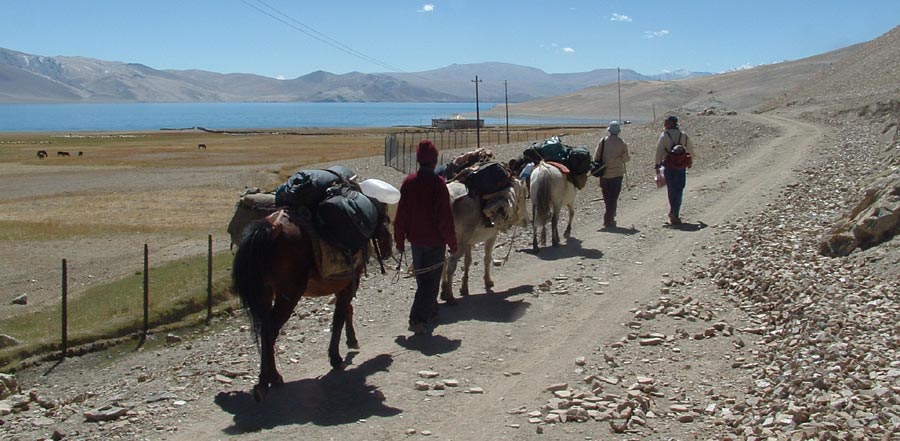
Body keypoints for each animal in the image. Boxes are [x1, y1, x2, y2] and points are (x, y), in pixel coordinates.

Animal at [230, 201, 392, 400]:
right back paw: (269, 380)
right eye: (384, 213)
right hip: (289, 294)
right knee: (271, 330)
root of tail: (271, 228)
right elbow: (339, 316)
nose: (388, 246)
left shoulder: (341, 282)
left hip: (265, 293)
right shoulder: (350, 281)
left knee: (265, 330)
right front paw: (336, 357)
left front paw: (351, 340)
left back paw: (267, 379)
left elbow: (346, 309)